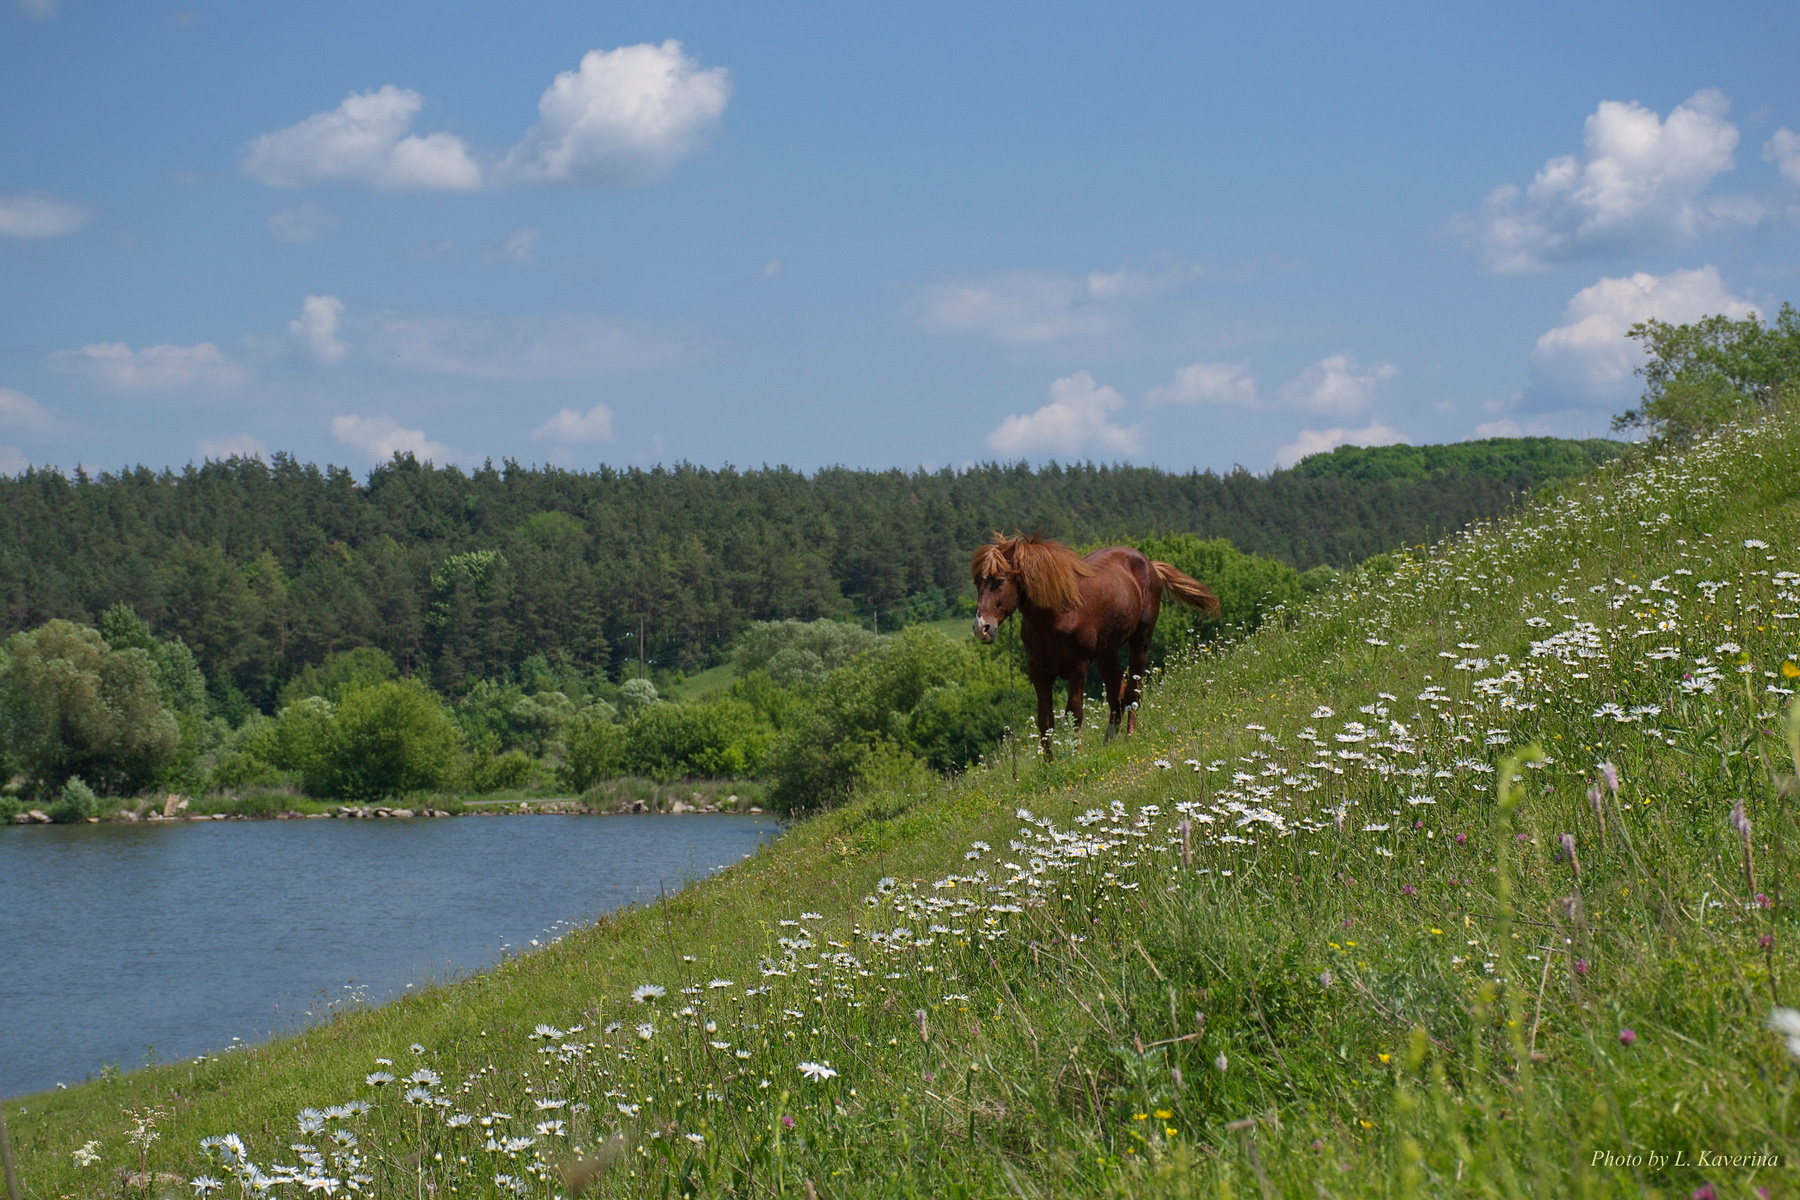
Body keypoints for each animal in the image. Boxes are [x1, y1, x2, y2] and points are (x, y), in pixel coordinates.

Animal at [972, 536, 1224, 759]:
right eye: (977, 583)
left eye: (1000, 580)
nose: (981, 628)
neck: (1056, 615)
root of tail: (1150, 564)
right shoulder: (1039, 671)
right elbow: (1045, 719)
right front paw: (1049, 763)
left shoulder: (1078, 667)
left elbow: (1074, 713)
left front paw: (1075, 756)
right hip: (1107, 653)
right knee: (1116, 695)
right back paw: (1108, 743)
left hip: (1140, 641)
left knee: (1133, 691)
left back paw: (1129, 738)